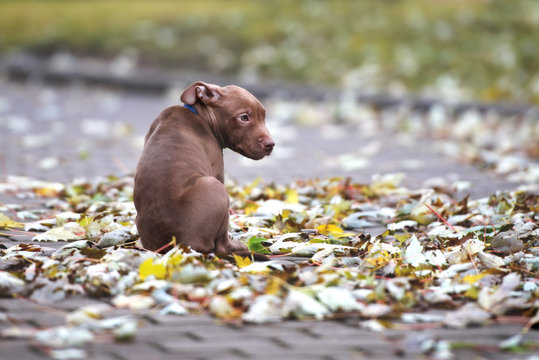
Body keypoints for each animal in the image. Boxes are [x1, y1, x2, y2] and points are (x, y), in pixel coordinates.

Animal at [133, 82, 276, 256]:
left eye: (264, 116)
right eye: (244, 117)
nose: (271, 144)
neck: (200, 115)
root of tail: (179, 246)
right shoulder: (217, 172)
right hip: (215, 187)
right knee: (221, 245)